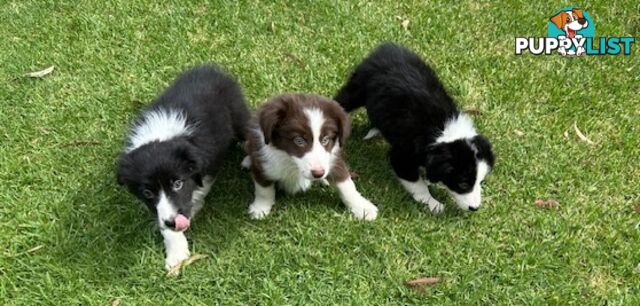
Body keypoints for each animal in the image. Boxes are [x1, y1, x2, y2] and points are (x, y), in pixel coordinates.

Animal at [116, 65, 249, 270]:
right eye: (147, 193)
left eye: (178, 184)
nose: (173, 222)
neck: (161, 135)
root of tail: (209, 67)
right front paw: (176, 253)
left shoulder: (205, 164)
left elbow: (198, 190)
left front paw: (194, 207)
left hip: (238, 112)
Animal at [242, 93, 378, 220]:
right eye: (299, 140)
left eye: (325, 140)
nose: (318, 173)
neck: (291, 161)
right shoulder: (262, 161)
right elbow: (263, 189)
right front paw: (260, 208)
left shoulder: (332, 159)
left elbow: (346, 184)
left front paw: (363, 208)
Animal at [336, 43, 496, 213]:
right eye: (463, 184)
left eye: (480, 182)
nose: (475, 208)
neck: (440, 130)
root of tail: (385, 47)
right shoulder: (403, 154)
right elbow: (417, 183)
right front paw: (433, 204)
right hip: (357, 88)